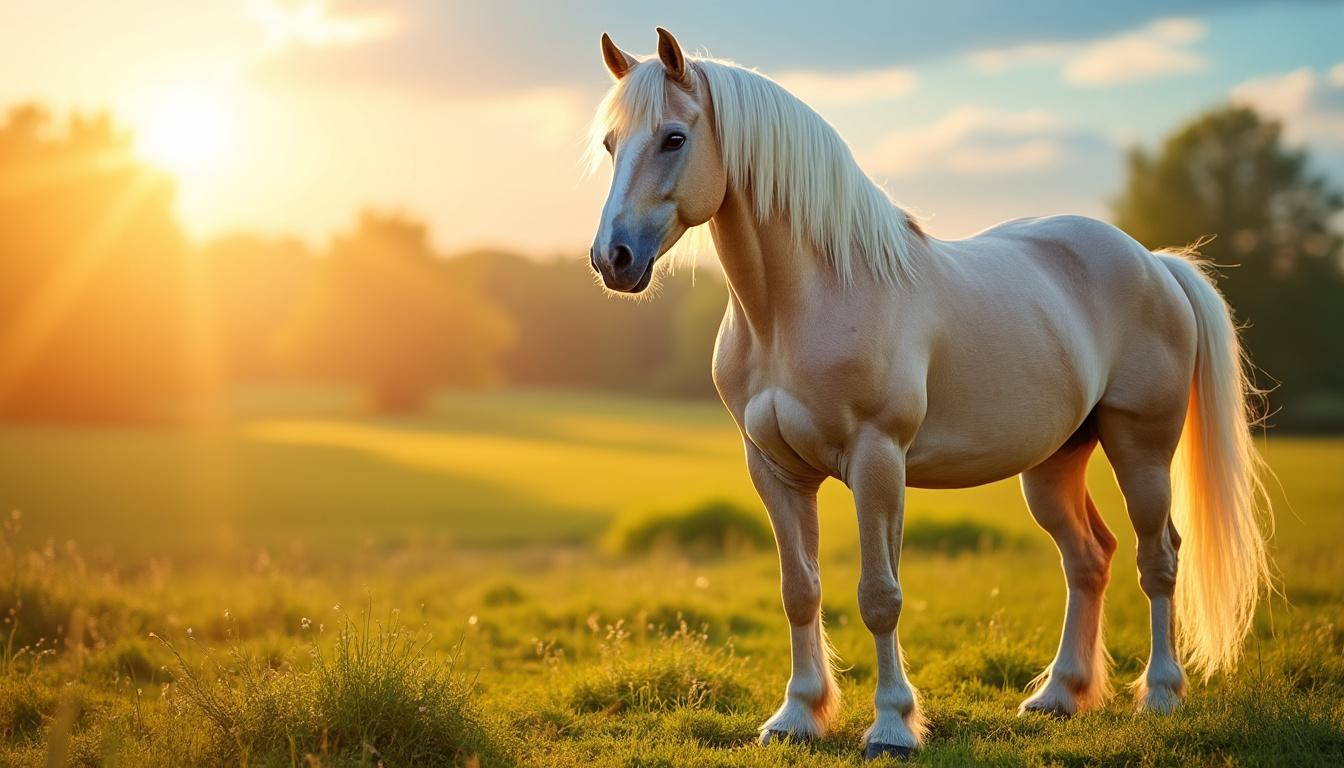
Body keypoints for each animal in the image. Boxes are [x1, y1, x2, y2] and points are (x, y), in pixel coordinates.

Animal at [587, 28, 1271, 759]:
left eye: (675, 138)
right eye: (610, 143)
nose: (613, 258)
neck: (801, 305)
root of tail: (1156, 263)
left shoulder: (877, 460)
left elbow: (879, 595)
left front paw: (892, 727)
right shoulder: (773, 469)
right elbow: (800, 590)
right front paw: (796, 717)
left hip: (1141, 448)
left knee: (1158, 557)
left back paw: (1162, 695)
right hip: (1054, 464)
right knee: (1089, 560)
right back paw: (1059, 696)